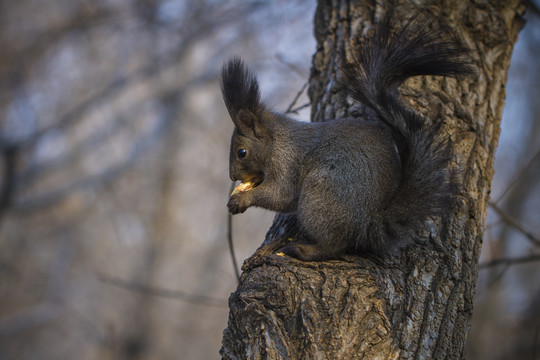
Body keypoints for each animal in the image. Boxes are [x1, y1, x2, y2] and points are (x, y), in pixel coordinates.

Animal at [219, 14, 472, 262]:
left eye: (241, 152)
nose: (233, 176)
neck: (276, 140)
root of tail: (368, 224)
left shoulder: (286, 161)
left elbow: (281, 195)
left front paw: (241, 200)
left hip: (321, 193)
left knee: (335, 245)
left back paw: (305, 251)